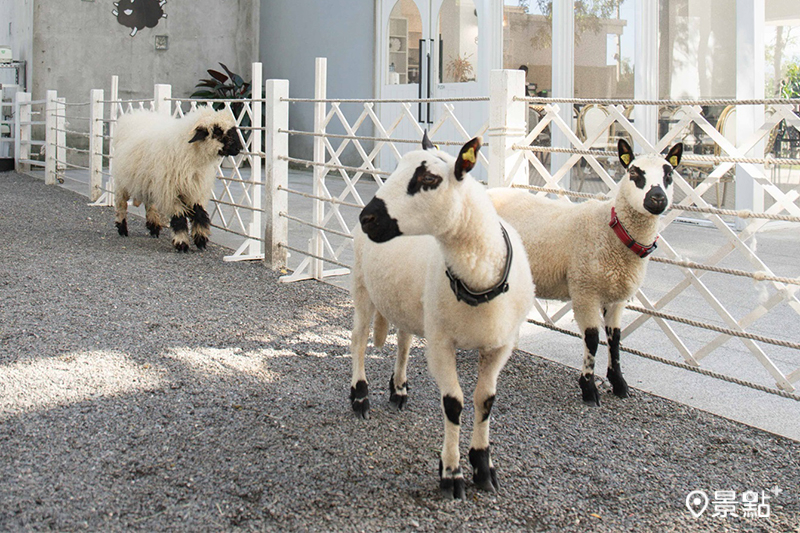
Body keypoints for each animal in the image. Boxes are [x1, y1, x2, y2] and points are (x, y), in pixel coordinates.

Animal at [111, 107, 241, 252]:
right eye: (217, 131)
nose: (239, 148)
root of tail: (135, 114)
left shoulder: (195, 189)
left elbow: (200, 214)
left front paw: (201, 239)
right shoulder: (171, 191)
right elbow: (179, 218)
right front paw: (182, 243)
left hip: (149, 181)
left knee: (150, 204)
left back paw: (154, 226)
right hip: (122, 182)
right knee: (121, 204)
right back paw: (122, 228)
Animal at [348, 133, 532, 498]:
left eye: (429, 179)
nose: (367, 218)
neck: (479, 280)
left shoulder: (499, 346)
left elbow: (485, 401)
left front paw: (483, 467)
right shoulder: (441, 345)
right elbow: (454, 404)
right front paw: (451, 474)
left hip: (408, 301)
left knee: (404, 342)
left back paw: (399, 390)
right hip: (363, 288)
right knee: (359, 340)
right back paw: (360, 396)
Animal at [488, 139, 680, 406]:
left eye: (669, 174)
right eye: (634, 173)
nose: (657, 198)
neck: (612, 230)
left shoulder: (616, 298)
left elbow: (615, 339)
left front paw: (619, 383)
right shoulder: (584, 290)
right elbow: (592, 339)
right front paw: (588, 389)